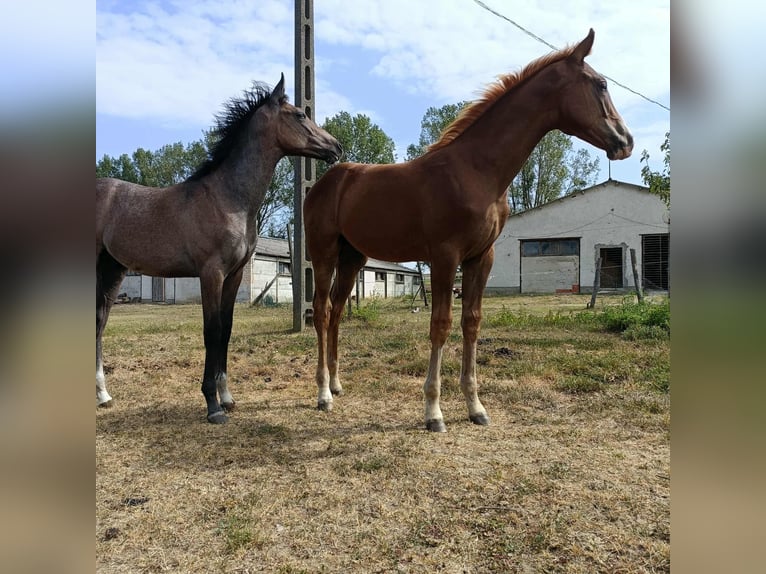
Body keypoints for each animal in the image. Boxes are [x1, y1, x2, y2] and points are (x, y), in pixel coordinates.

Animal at [97, 74, 342, 423]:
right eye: (299, 115)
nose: (336, 147)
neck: (226, 198)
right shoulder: (210, 274)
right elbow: (211, 331)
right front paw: (212, 405)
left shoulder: (235, 275)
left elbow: (225, 330)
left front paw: (227, 398)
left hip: (113, 269)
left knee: (99, 321)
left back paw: (103, 395)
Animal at [304, 29, 633, 432]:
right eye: (601, 84)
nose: (625, 141)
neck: (476, 171)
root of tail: (328, 180)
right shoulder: (445, 257)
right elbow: (441, 324)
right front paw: (433, 412)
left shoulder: (481, 257)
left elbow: (471, 323)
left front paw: (476, 407)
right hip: (323, 252)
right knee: (321, 312)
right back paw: (322, 394)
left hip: (353, 257)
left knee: (337, 311)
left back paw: (337, 384)